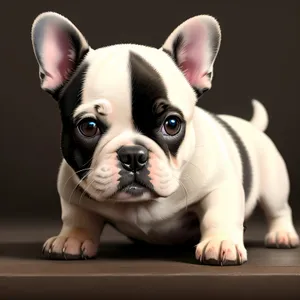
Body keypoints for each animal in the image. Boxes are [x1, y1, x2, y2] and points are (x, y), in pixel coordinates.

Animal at [31, 11, 300, 264]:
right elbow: (77, 216)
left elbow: (218, 212)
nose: (133, 155)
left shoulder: (221, 183)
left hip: (274, 184)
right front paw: (71, 238)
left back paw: (282, 235)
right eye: (88, 127)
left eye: (172, 124)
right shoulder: (71, 189)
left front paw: (221, 242)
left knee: (279, 209)